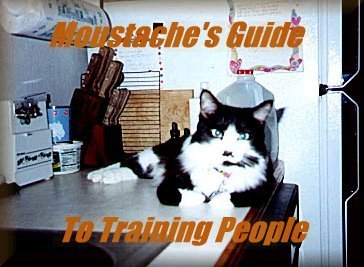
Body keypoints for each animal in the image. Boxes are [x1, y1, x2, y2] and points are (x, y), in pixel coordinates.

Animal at [88, 91, 274, 208]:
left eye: (243, 136)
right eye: (217, 133)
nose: (227, 152)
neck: (219, 171)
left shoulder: (265, 187)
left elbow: (230, 197)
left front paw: (214, 198)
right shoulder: (169, 182)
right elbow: (179, 194)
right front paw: (200, 196)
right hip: (153, 154)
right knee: (129, 163)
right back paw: (101, 174)